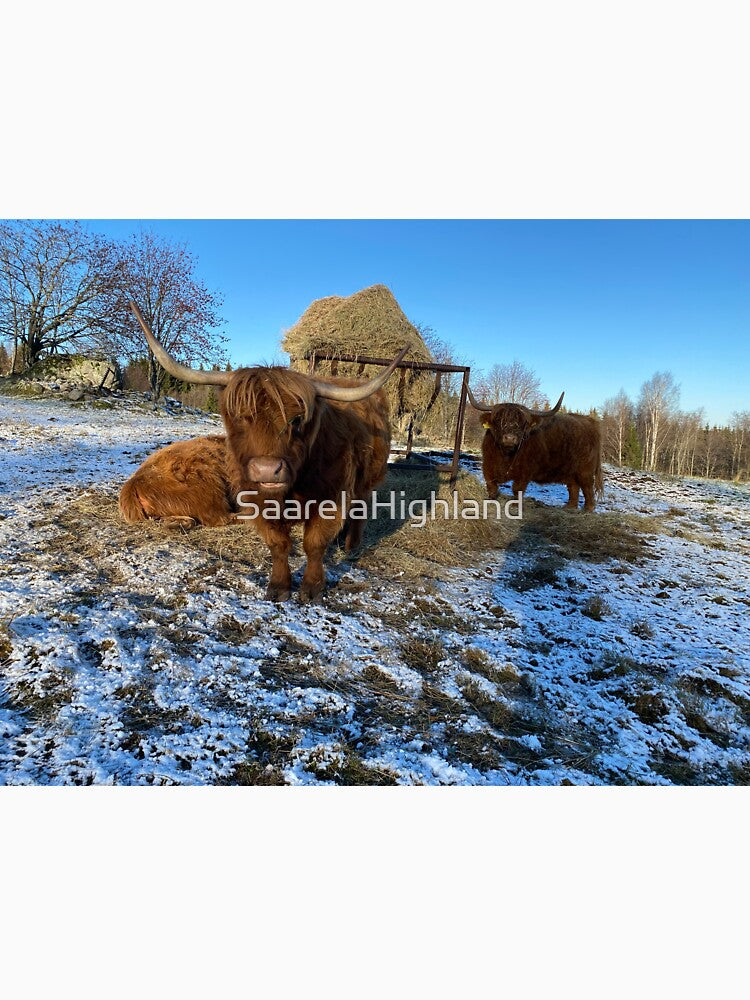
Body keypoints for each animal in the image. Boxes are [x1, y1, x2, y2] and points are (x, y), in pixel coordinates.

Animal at [120, 302, 407, 602]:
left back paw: (351, 545)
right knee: (215, 517)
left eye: (297, 420)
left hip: (367, 479)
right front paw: (279, 587)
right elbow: (278, 544)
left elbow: (314, 544)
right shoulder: (258, 500)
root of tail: (133, 483)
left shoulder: (332, 498)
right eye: (240, 417)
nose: (267, 470)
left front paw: (312, 588)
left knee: (361, 507)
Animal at [467, 388, 604, 511]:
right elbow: (491, 486)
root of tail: (589, 421)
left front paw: (515, 506)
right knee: (573, 486)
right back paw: (570, 507)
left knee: (587, 488)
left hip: (585, 470)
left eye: (523, 422)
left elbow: (517, 489)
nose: (510, 438)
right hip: (569, 470)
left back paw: (588, 509)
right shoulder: (487, 466)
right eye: (498, 419)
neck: (506, 455)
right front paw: (491, 500)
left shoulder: (524, 472)